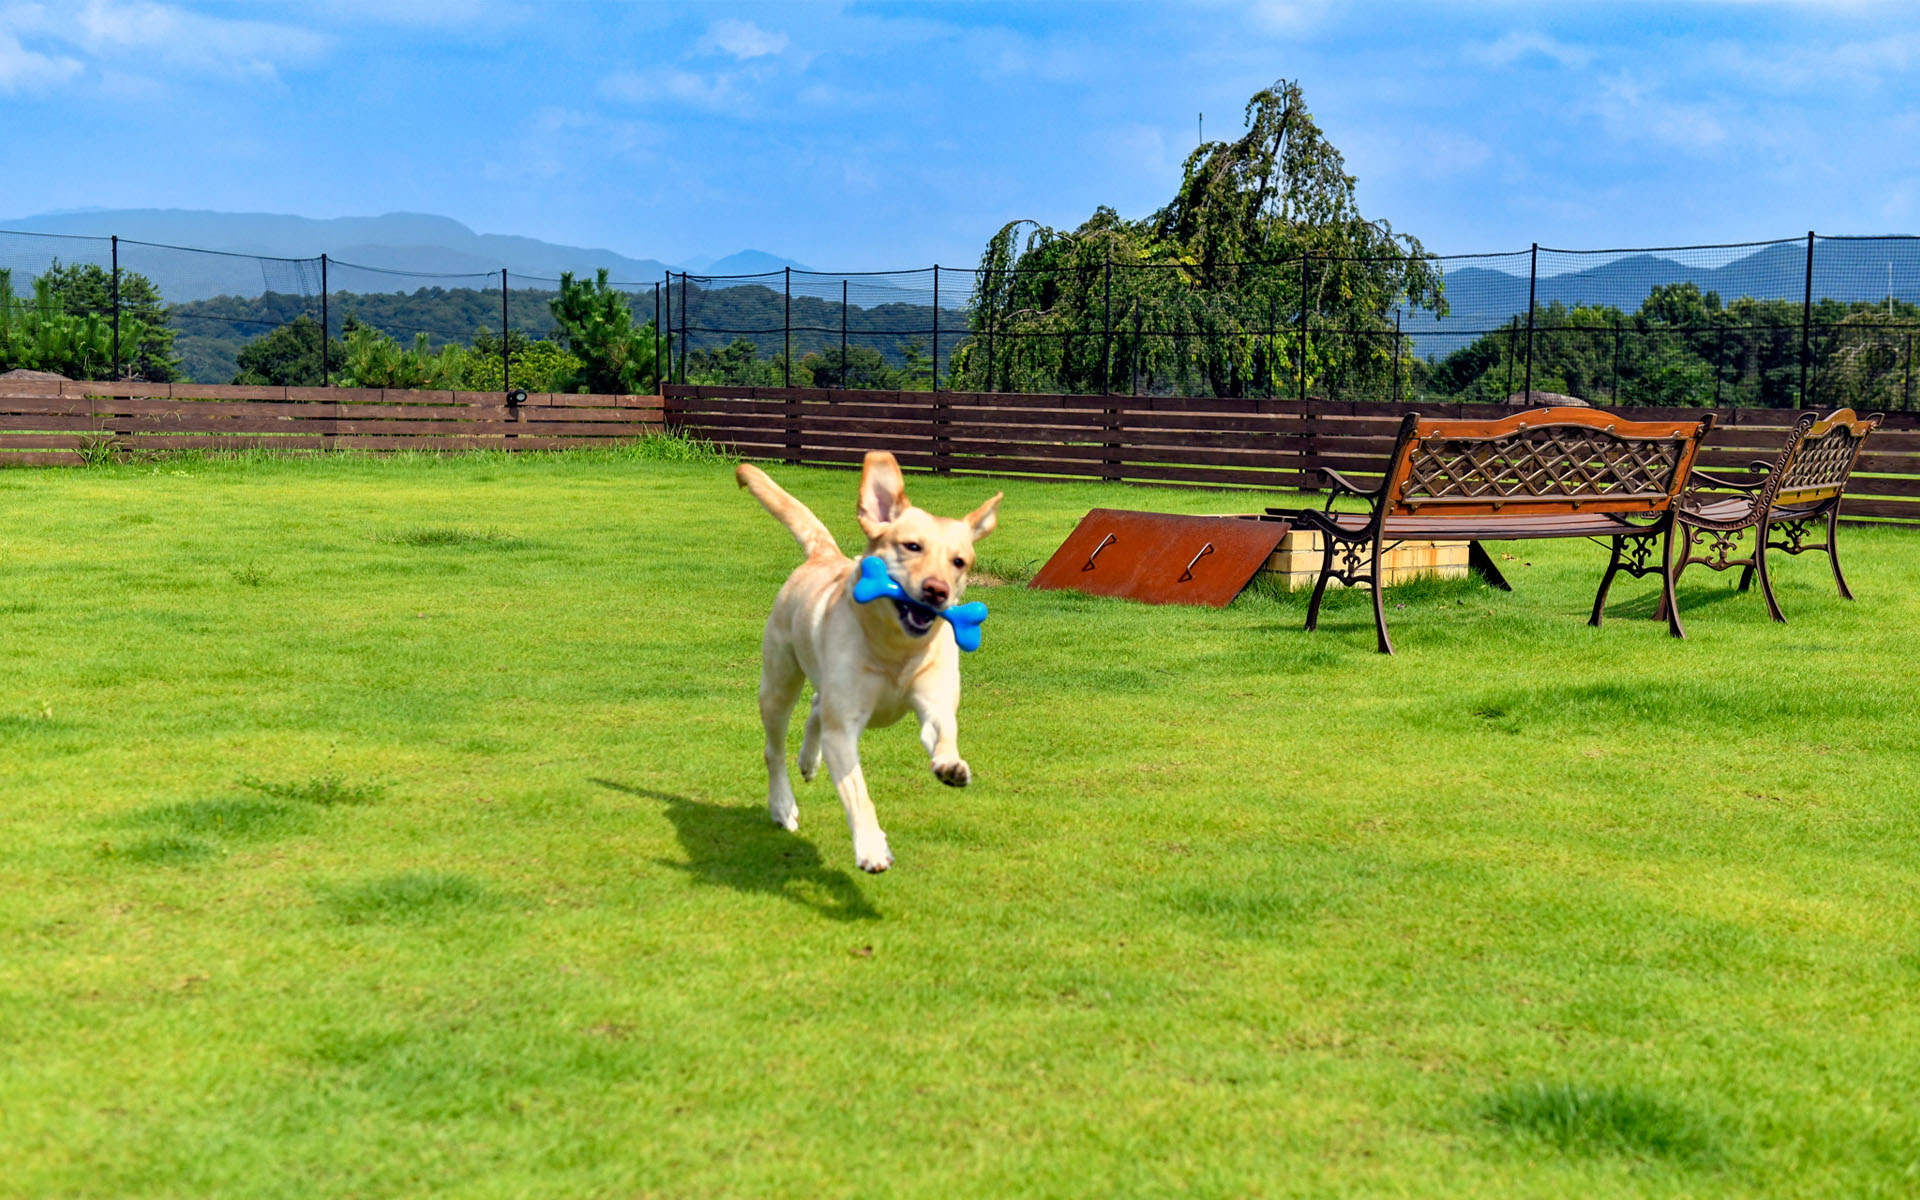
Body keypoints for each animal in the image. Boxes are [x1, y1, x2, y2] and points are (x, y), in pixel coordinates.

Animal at [737, 449, 1006, 871]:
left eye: (959, 562)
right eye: (912, 546)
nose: (937, 591)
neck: (895, 650)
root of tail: (824, 553)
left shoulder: (935, 703)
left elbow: (944, 732)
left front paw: (951, 766)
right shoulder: (843, 730)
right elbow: (858, 794)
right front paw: (871, 847)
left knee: (817, 705)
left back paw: (809, 760)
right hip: (779, 682)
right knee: (775, 748)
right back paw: (782, 804)